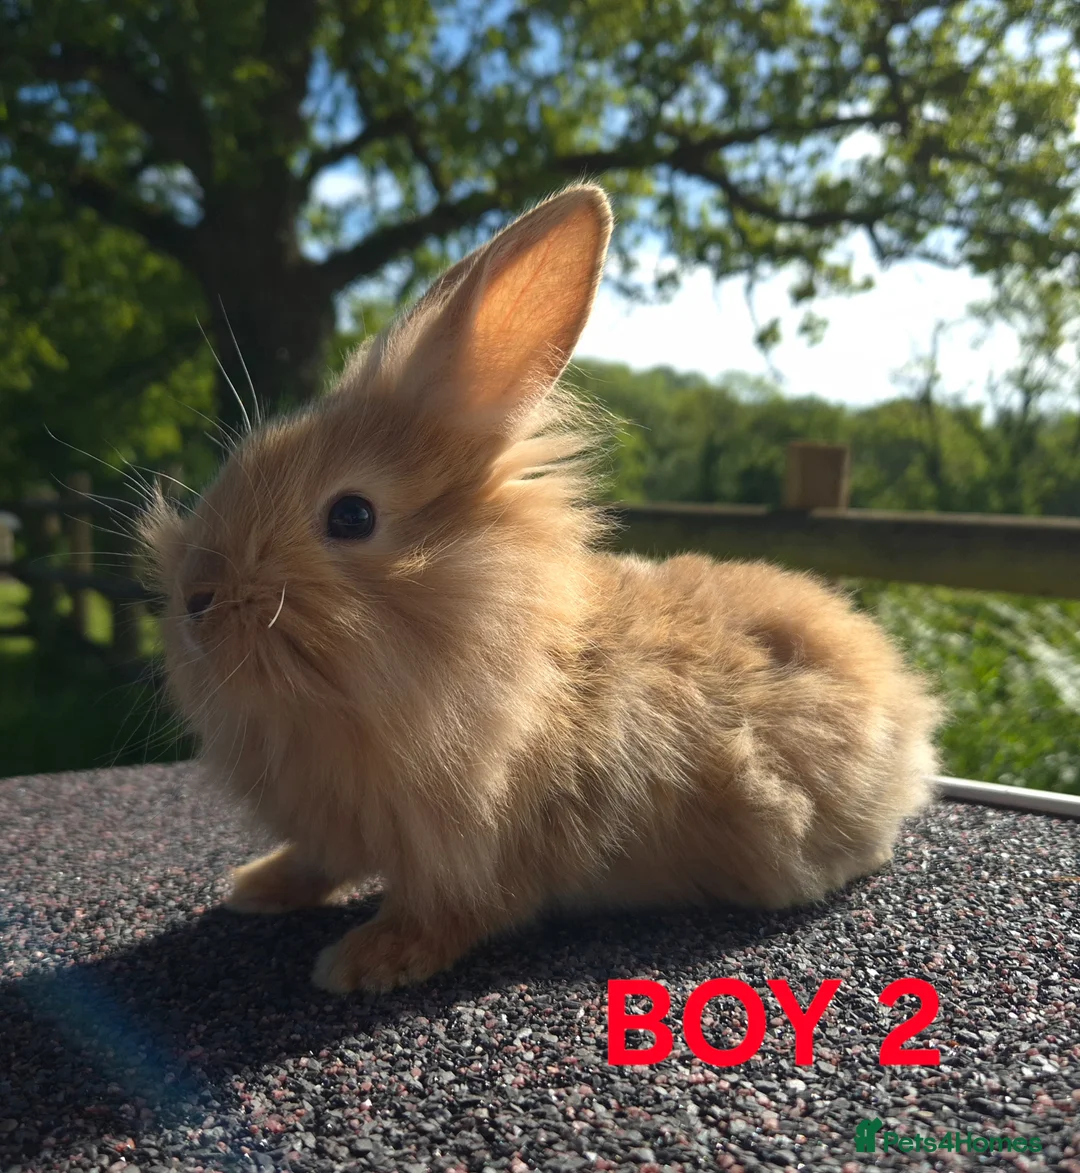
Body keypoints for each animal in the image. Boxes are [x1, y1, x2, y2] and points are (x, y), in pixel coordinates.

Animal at [139, 183, 942, 994]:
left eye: (352, 515)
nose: (196, 599)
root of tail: (908, 710)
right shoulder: (336, 829)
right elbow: (315, 860)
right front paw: (254, 886)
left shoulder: (477, 853)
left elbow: (447, 912)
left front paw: (362, 962)